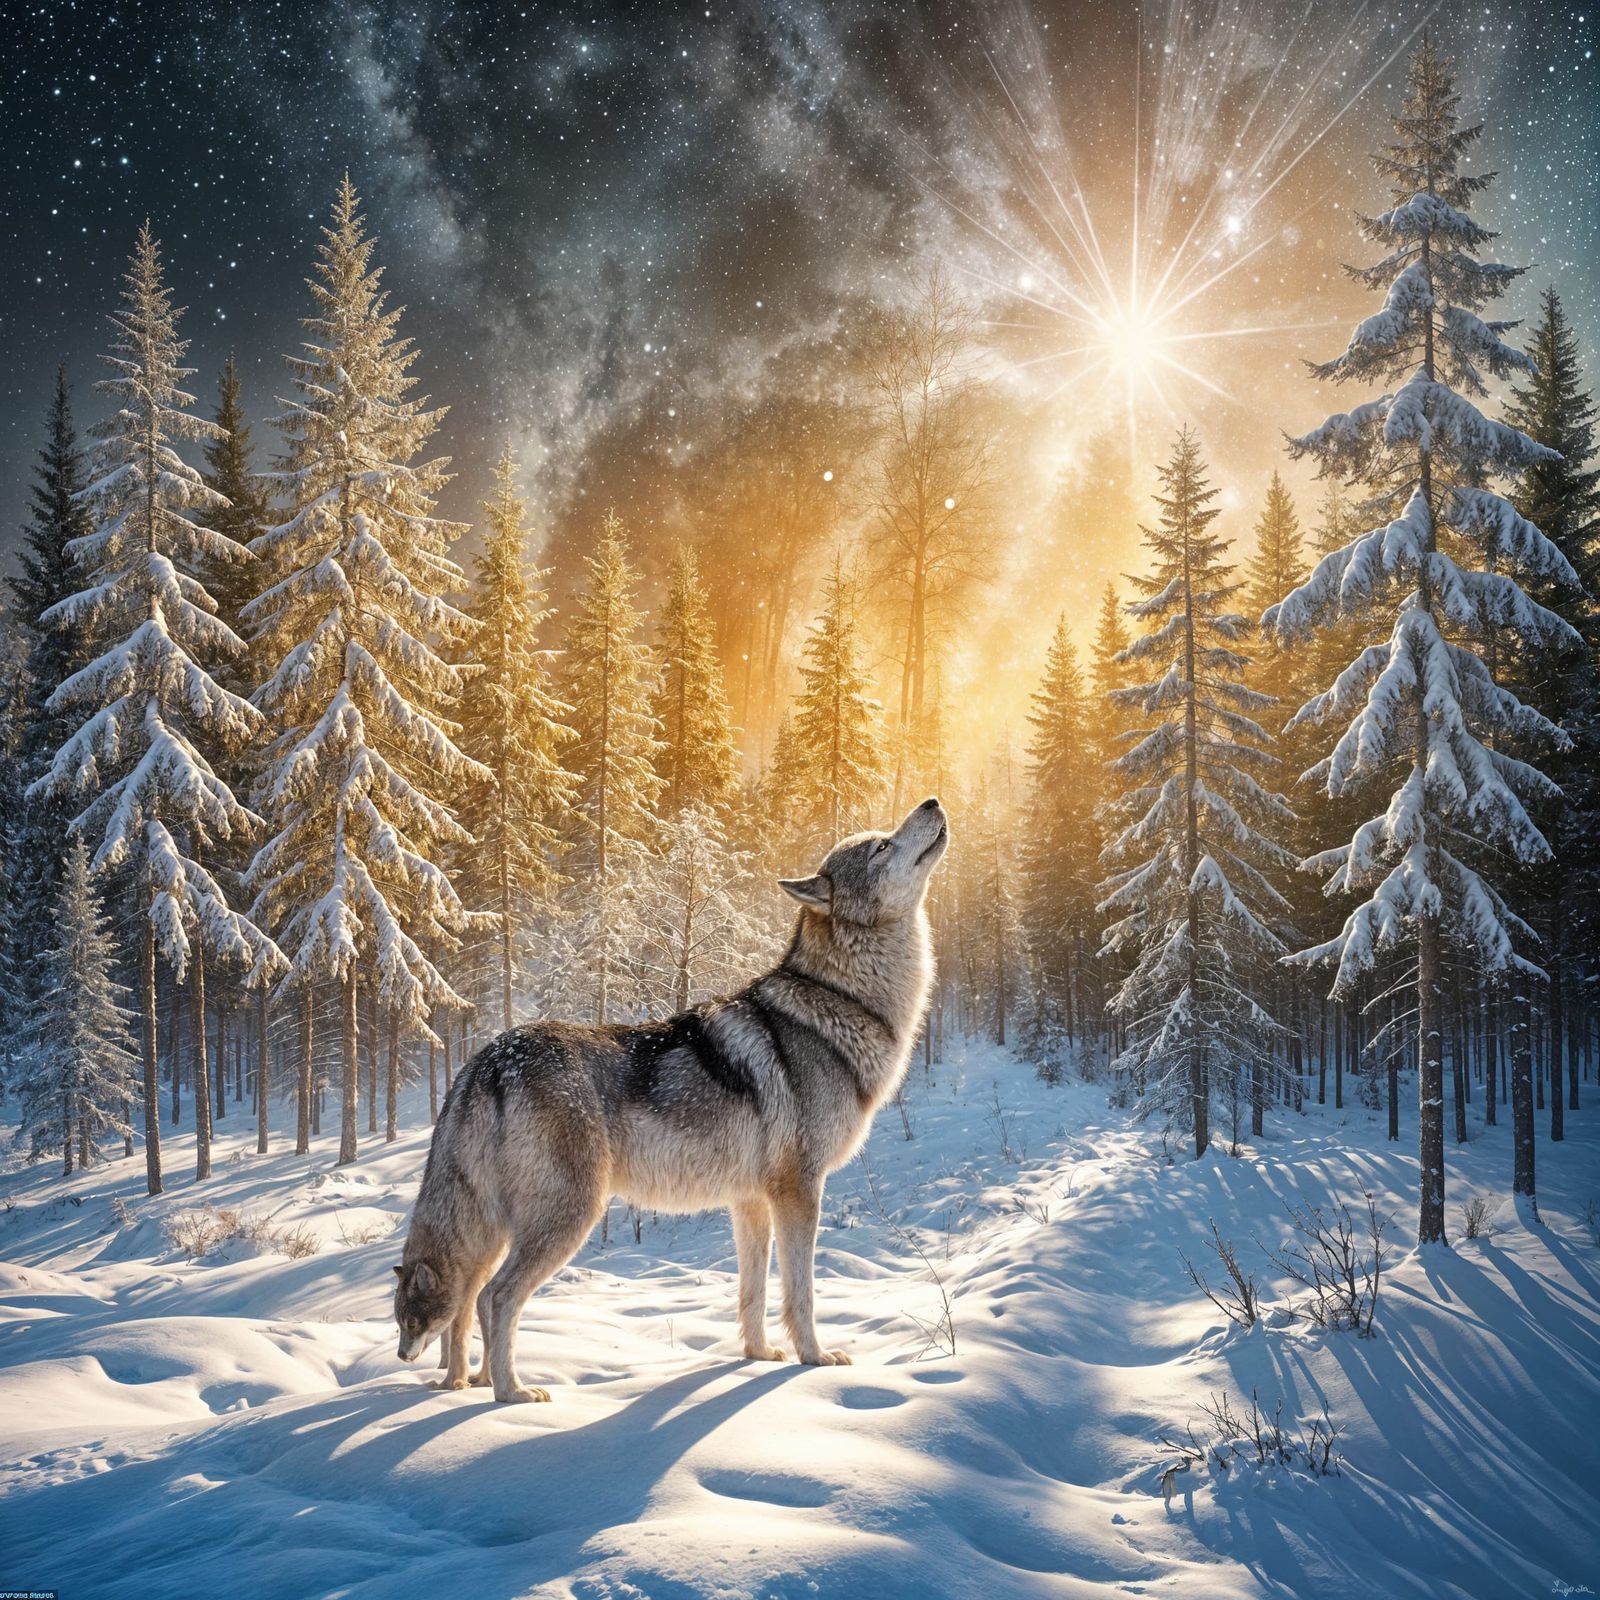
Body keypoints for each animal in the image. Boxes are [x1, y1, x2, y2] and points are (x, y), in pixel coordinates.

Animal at [392, 797, 948, 1402]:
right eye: (881, 845)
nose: (932, 801)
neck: (839, 1000)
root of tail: (487, 1058)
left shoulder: (751, 1201)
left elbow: (753, 1293)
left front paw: (757, 1356)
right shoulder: (800, 1190)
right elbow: (801, 1292)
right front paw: (814, 1359)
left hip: (501, 1226)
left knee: (472, 1297)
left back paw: (468, 1382)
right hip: (569, 1216)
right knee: (497, 1297)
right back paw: (512, 1393)